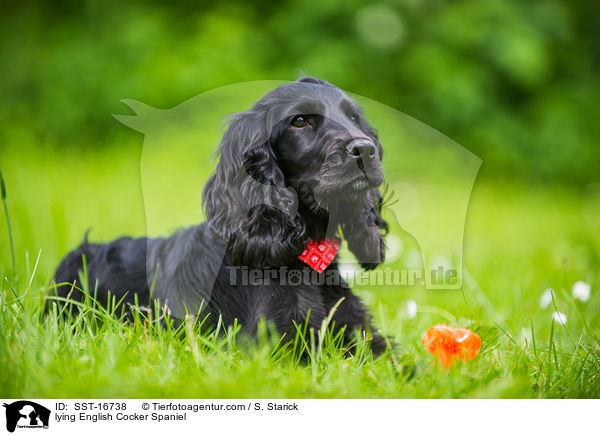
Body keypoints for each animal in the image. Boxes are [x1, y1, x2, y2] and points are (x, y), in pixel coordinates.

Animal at [51, 77, 390, 354]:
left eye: (353, 117)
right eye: (300, 121)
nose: (366, 149)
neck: (302, 258)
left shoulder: (362, 336)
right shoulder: (275, 346)